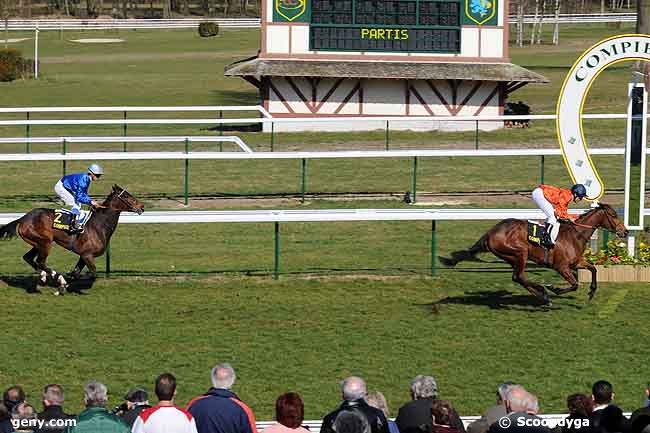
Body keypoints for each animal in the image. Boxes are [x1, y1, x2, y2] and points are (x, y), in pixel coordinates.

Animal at [0, 184, 143, 296]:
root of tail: (23, 218)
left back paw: (43, 277)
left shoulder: (83, 256)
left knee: (28, 258)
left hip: (38, 243)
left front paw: (62, 287)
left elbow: (76, 273)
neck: (99, 225)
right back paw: (55, 277)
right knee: (40, 261)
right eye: (126, 196)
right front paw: (63, 285)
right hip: (45, 243)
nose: (141, 206)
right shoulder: (87, 255)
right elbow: (92, 274)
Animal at [438, 204, 624, 306]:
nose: (624, 231)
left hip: (512, 257)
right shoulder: (561, 266)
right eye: (614, 215)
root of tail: (490, 232)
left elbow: (593, 269)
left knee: (518, 277)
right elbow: (574, 284)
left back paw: (542, 296)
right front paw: (555, 289)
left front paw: (592, 291)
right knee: (518, 276)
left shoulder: (575, 262)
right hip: (520, 252)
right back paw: (544, 294)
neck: (575, 234)